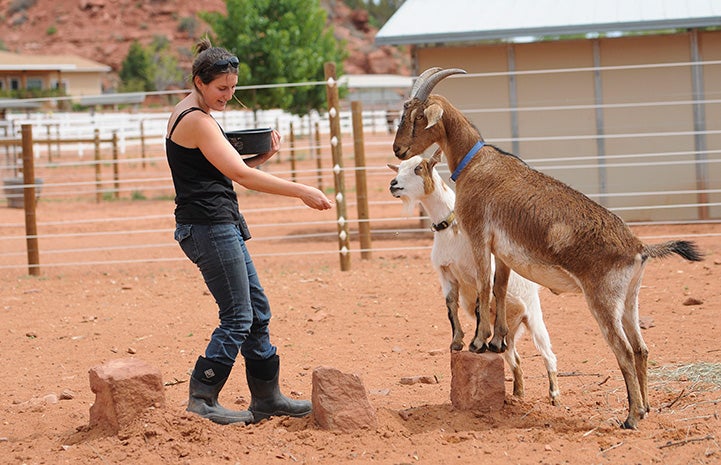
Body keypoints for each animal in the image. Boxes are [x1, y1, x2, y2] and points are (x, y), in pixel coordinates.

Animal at [388, 150, 560, 404]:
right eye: (398, 168)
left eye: (418, 168)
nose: (394, 184)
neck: (451, 229)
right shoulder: (446, 274)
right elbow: (451, 306)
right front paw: (457, 342)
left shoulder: (479, 272)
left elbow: (481, 303)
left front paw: (477, 343)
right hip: (510, 333)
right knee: (515, 358)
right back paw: (517, 394)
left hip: (534, 317)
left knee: (548, 353)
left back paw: (555, 396)